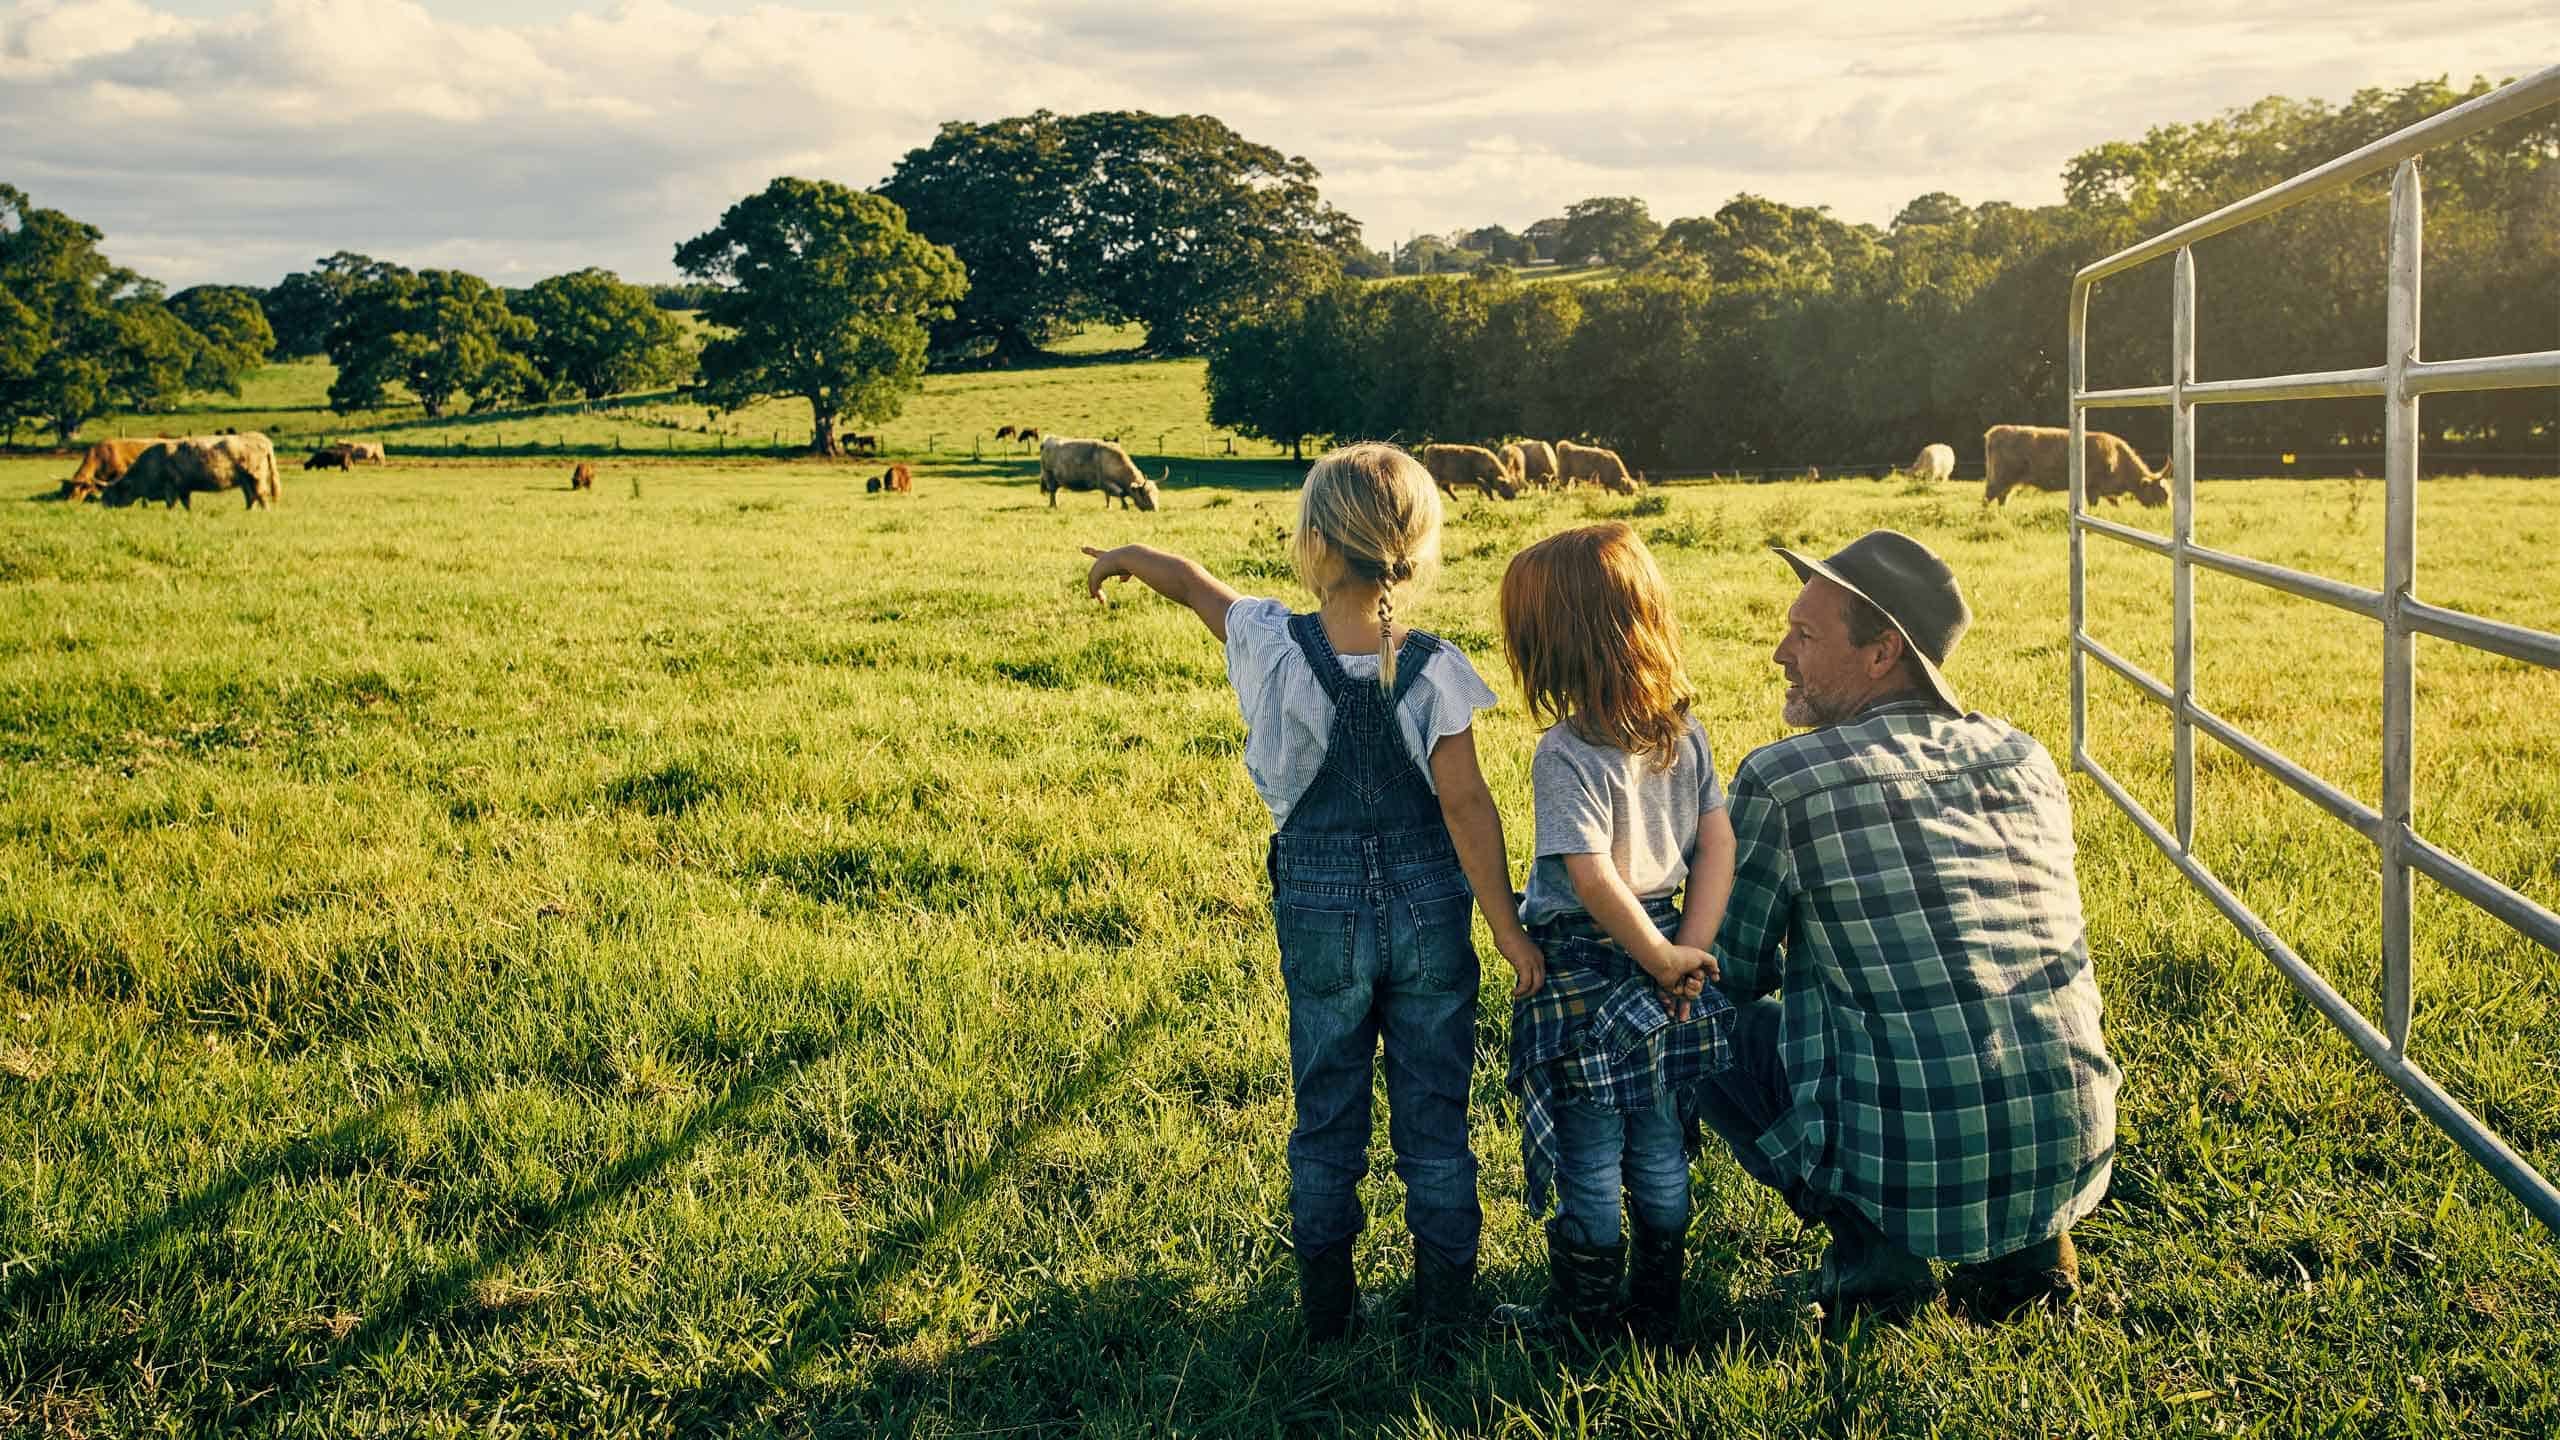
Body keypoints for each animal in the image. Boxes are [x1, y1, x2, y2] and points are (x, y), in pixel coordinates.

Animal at [106, 430, 281, 509]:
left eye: (113, 491)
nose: (103, 504)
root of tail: (259, 437)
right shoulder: (184, 489)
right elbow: (186, 504)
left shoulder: (170, 487)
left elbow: (170, 504)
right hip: (245, 481)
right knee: (251, 498)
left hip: (256, 478)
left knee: (261, 496)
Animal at [1976, 422, 2160, 507]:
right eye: (2160, 493)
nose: (2163, 508)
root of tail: (1995, 431)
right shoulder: (2092, 487)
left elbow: (2116, 504)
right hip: (2000, 478)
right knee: (1988, 498)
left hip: (2007, 481)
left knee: (2002, 498)